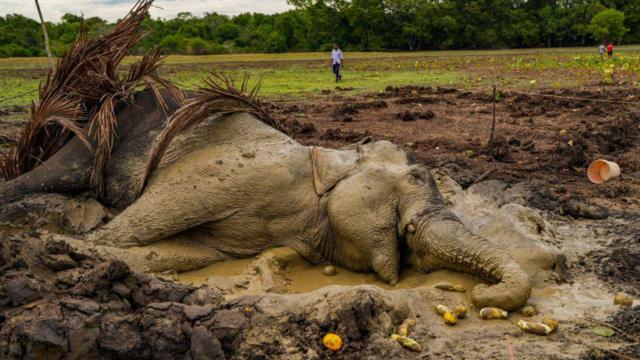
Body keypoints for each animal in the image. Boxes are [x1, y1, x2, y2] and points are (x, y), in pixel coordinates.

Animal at [0, 89, 528, 310]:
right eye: (416, 175)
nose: (480, 296)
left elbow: (186, 253)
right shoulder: (237, 174)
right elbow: (129, 231)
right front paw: (75, 240)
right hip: (95, 133)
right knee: (50, 175)